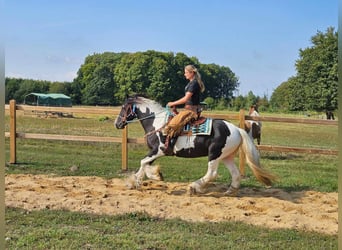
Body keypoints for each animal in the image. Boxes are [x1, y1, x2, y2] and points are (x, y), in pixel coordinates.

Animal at [115, 94, 276, 196]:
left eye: (123, 107)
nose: (117, 124)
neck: (157, 122)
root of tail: (237, 129)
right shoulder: (154, 152)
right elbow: (144, 165)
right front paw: (135, 181)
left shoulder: (159, 150)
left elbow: (143, 162)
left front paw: (153, 176)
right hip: (226, 156)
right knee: (235, 174)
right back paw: (230, 192)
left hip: (214, 155)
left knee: (212, 173)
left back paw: (193, 187)